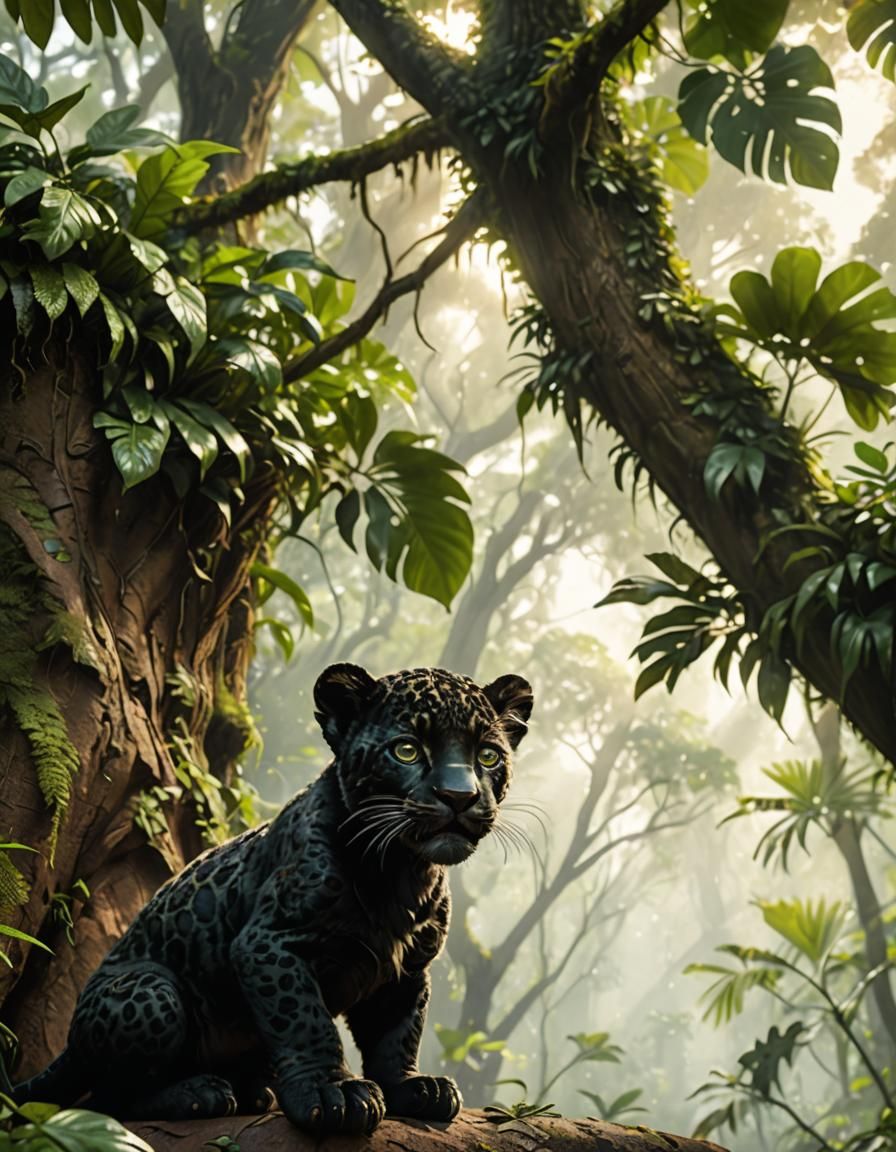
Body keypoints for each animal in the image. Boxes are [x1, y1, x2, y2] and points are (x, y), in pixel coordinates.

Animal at [14, 662, 533, 1136]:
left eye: (488, 755)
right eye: (406, 750)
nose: (459, 796)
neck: (401, 872)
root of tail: (69, 1046)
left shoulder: (407, 969)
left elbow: (398, 1033)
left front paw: (411, 1086)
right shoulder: (269, 943)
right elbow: (305, 1019)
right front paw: (334, 1092)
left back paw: (250, 1091)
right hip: (151, 990)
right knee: (108, 1099)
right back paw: (200, 1093)